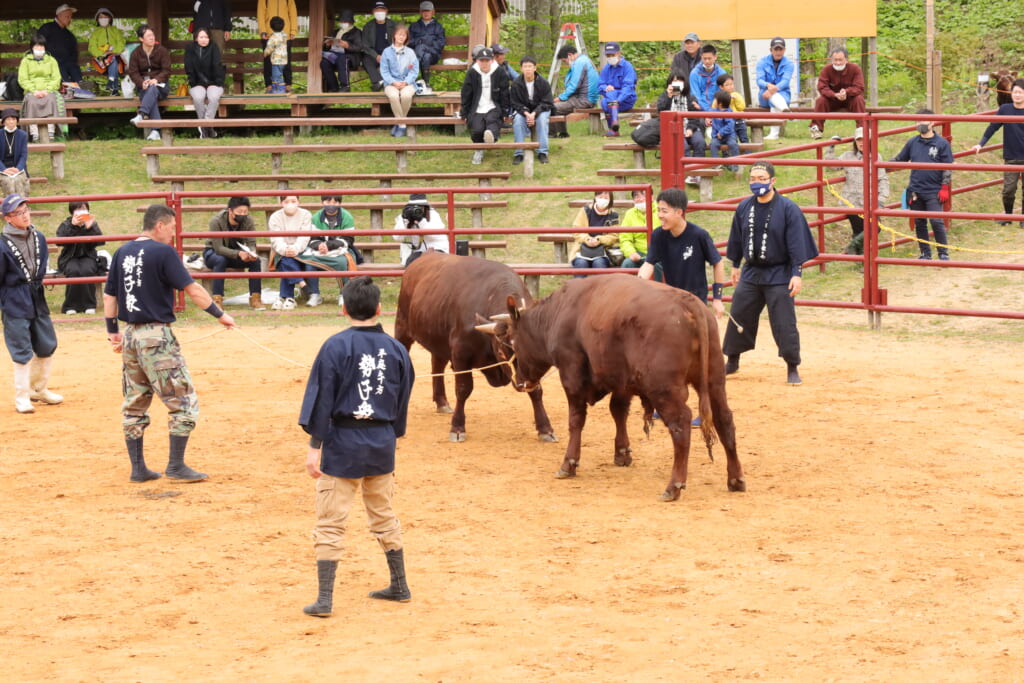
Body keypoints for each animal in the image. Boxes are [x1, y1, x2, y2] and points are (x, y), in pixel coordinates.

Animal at [393, 252, 557, 444]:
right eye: (501, 352)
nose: (523, 383)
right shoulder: (460, 354)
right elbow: (463, 389)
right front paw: (457, 427)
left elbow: (537, 391)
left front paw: (545, 429)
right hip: (402, 329)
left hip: (439, 341)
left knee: (437, 366)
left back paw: (442, 402)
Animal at [479, 274, 745, 501]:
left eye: (510, 343)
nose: (519, 382)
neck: (559, 313)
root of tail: (689, 304)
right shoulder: (621, 382)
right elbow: (618, 412)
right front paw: (622, 452)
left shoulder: (572, 376)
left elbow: (576, 420)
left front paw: (569, 463)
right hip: (714, 382)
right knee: (724, 420)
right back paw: (735, 478)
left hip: (664, 390)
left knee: (681, 425)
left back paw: (674, 485)